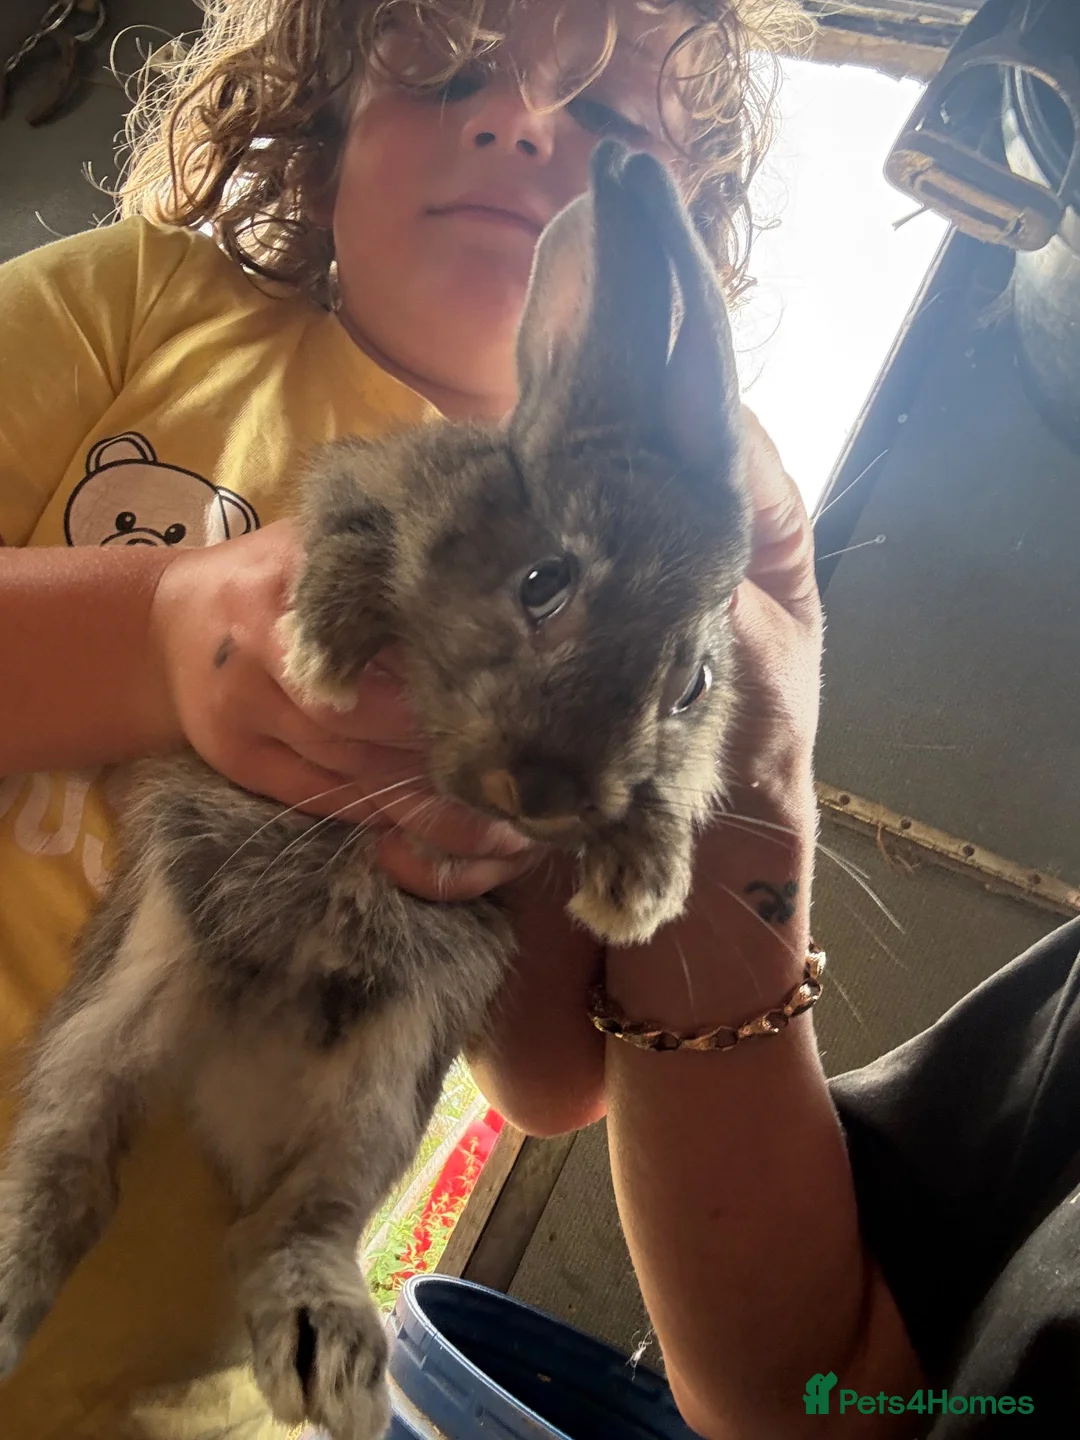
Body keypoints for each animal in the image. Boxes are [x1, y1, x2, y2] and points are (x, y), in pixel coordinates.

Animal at [0, 140, 751, 1440]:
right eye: (543, 583)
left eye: (692, 681)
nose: (545, 788)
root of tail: (236, 1079)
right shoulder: (374, 491)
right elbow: (348, 547)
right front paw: (319, 658)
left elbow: (674, 793)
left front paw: (637, 891)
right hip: (124, 1003)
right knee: (63, 1163)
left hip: (387, 1086)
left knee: (294, 1223)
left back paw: (332, 1357)